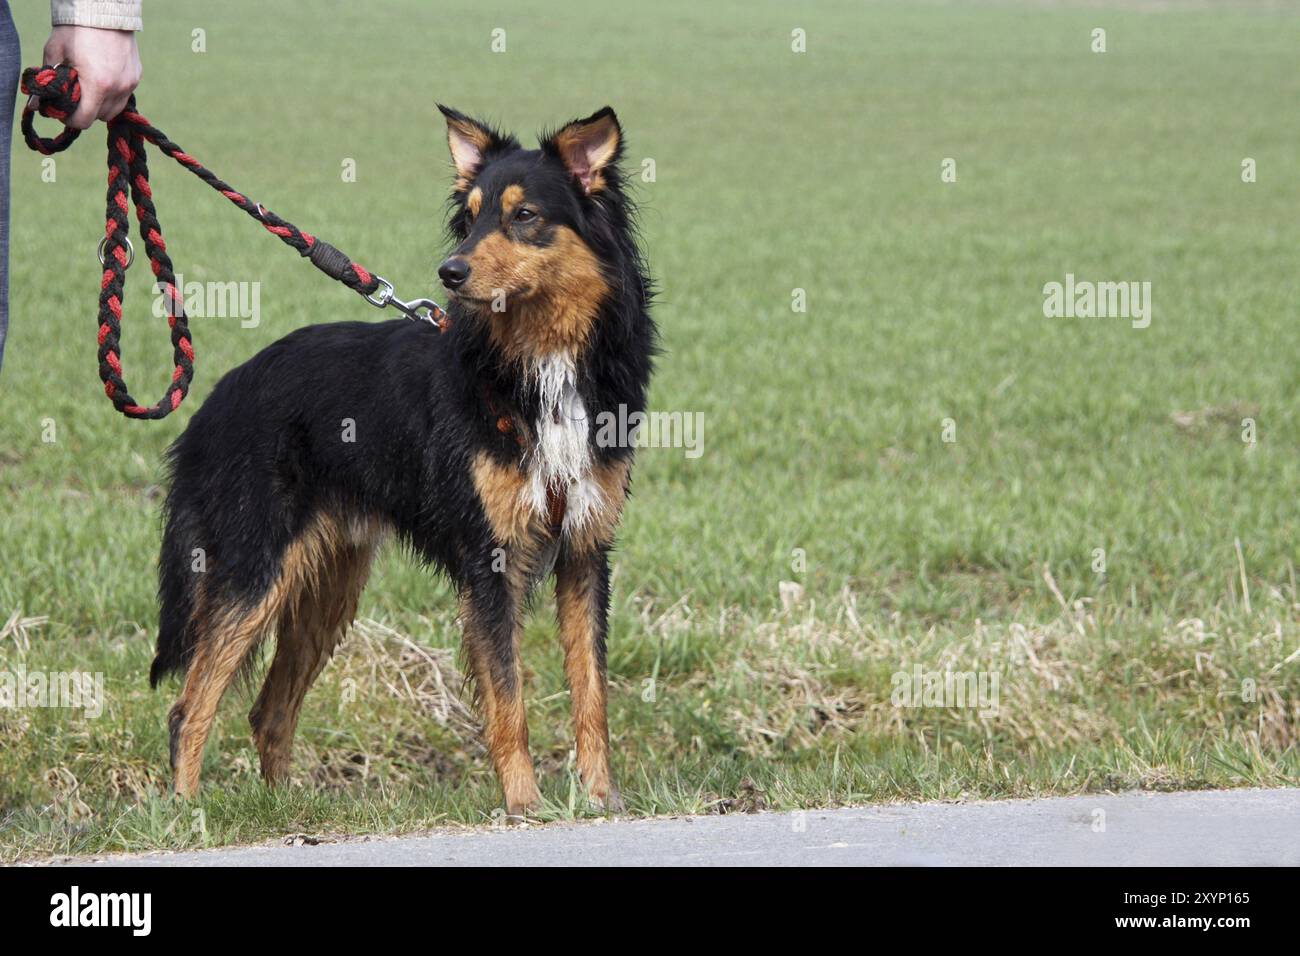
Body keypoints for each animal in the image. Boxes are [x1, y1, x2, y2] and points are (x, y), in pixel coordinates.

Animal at [148, 108, 655, 816]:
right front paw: (524, 806)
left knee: (268, 711)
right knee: (189, 707)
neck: (540, 358)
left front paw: (602, 799)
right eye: (469, 218)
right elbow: (508, 702)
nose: (451, 272)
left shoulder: (584, 549)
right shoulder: (490, 557)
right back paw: (190, 812)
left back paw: (286, 809)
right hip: (256, 569)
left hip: (326, 588)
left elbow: (592, 694)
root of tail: (218, 397)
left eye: (524, 215)